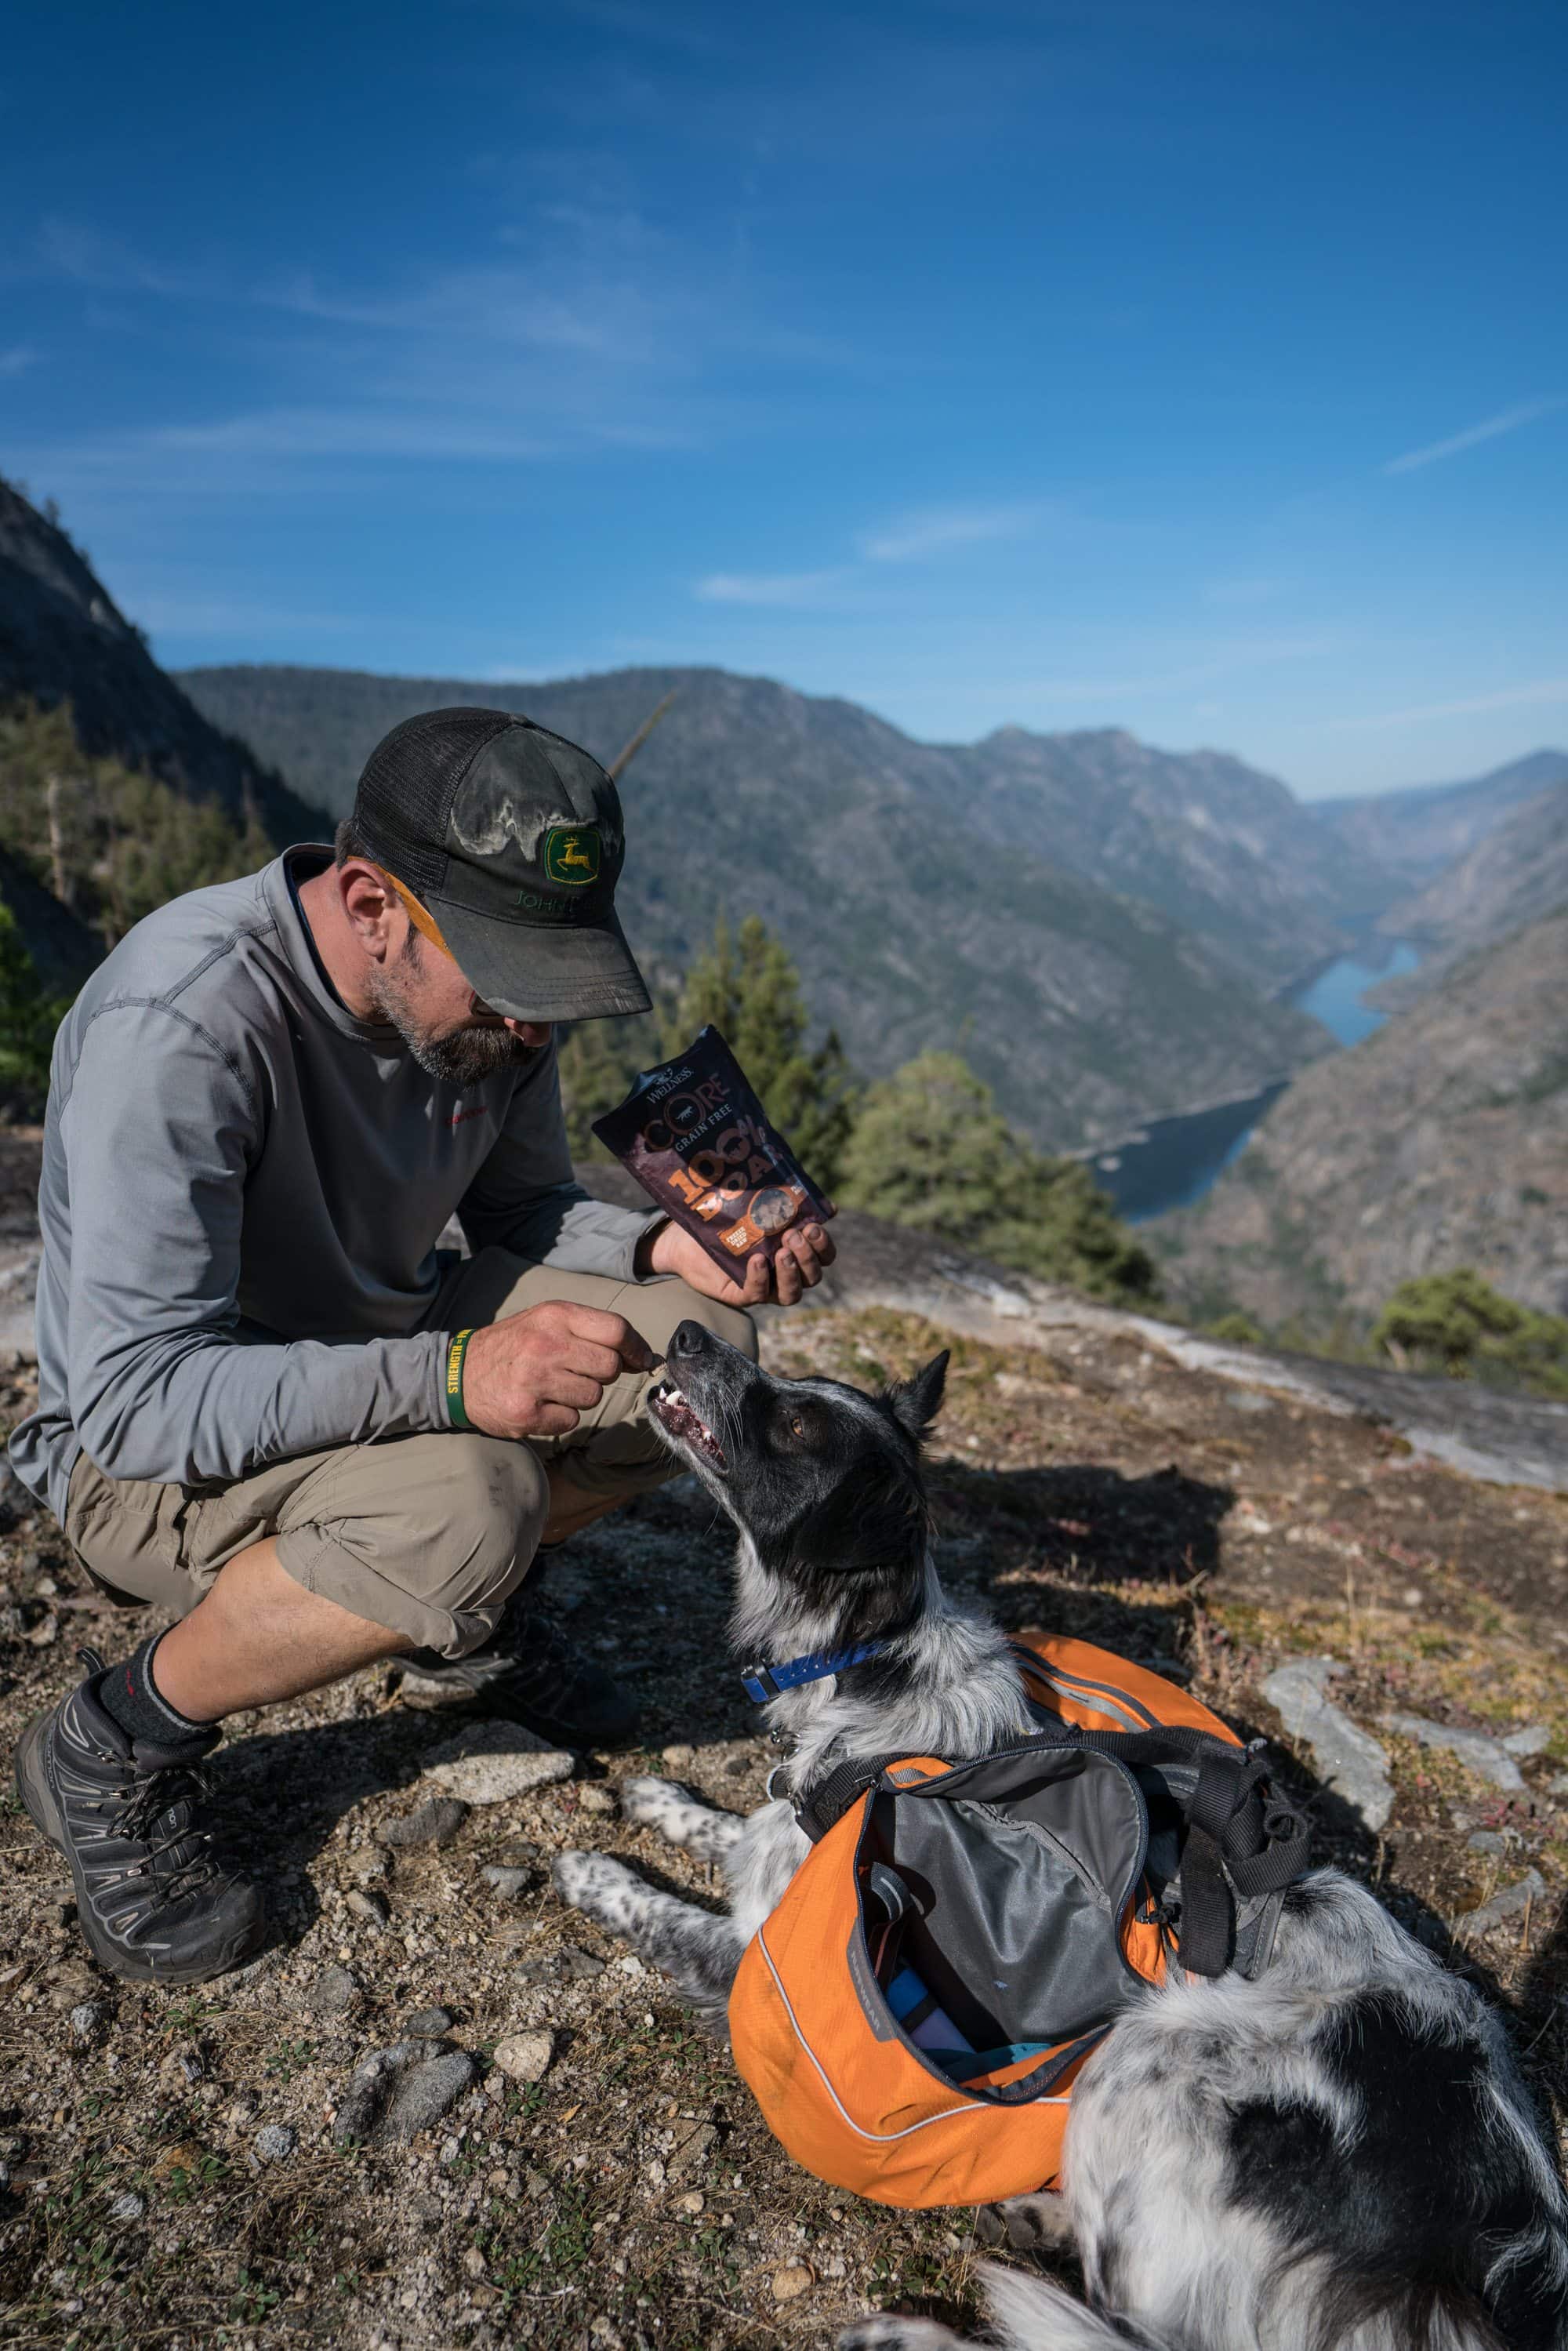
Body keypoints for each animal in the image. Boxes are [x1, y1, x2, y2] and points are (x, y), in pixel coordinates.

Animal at [552, 1325, 1568, 2351]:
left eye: (795, 1422)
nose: (689, 1335)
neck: (868, 1665)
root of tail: (1481, 2270)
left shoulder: (759, 1956)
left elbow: (662, 1909)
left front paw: (589, 1868)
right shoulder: (778, 1848)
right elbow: (729, 1828)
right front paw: (658, 1795)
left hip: (1147, 2055)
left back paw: (906, 2330)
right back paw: (1026, 2213)